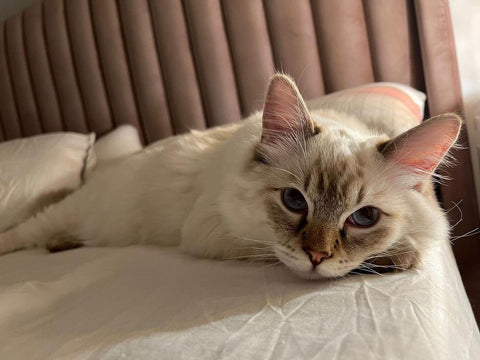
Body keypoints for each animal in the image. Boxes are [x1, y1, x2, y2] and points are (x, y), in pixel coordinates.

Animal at [0, 74, 462, 280]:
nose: (317, 257)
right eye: (294, 201)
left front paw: (397, 255)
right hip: (63, 214)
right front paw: (398, 257)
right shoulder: (214, 232)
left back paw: (63, 246)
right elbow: (273, 250)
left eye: (364, 218)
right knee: (23, 233)